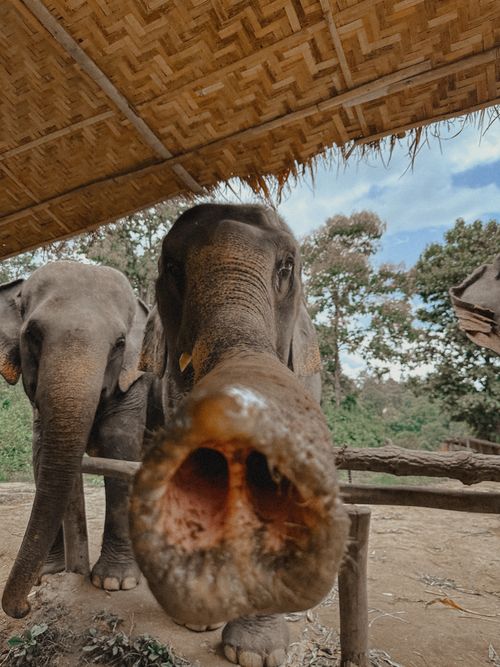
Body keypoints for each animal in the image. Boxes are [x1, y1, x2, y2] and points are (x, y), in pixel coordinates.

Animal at [0, 261, 162, 619]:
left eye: (119, 343)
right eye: (32, 334)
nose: (25, 608)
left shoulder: (135, 381)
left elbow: (120, 446)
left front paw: (115, 582)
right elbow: (40, 453)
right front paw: (49, 574)